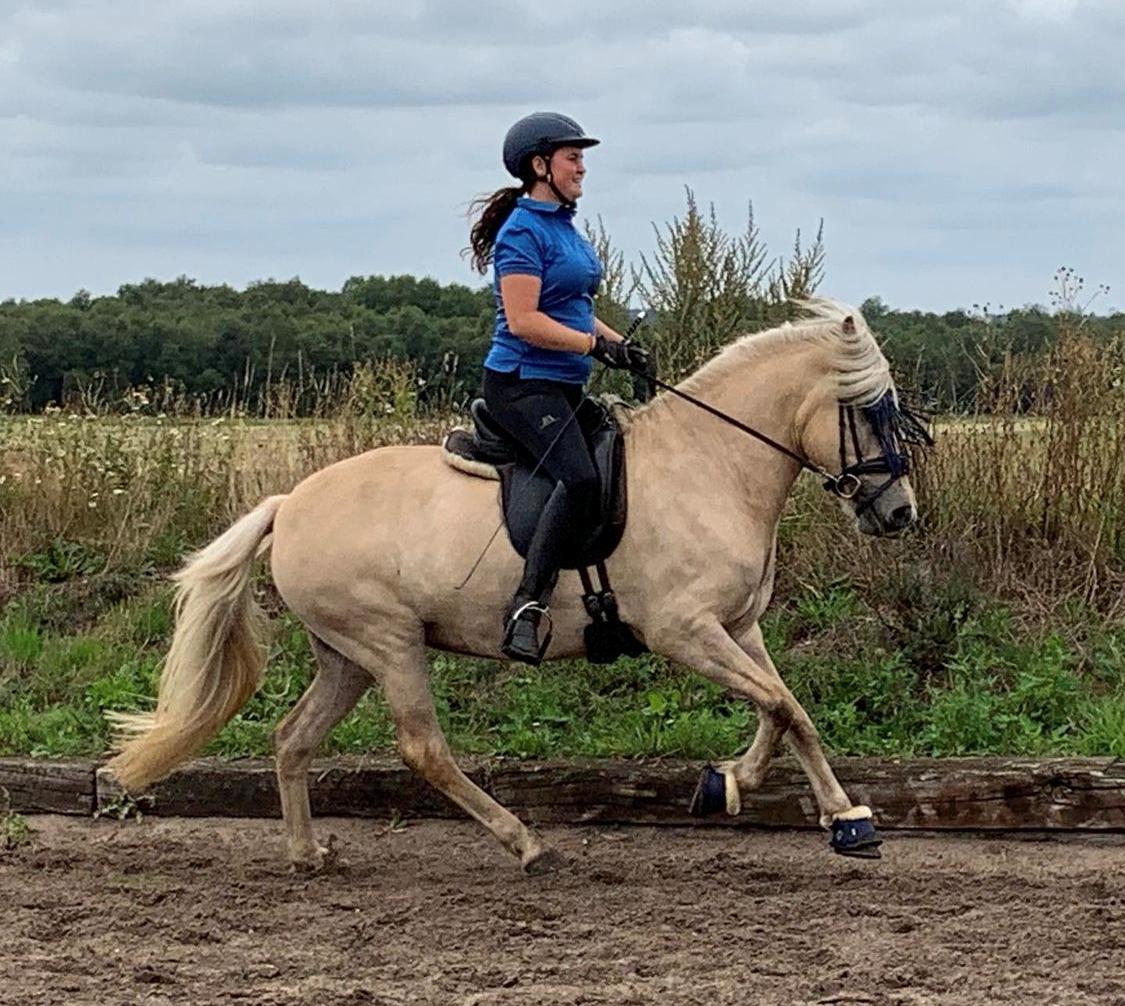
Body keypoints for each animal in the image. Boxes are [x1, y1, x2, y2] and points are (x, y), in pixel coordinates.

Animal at [105, 299, 931, 873]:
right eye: (871, 411)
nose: (897, 513)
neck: (711, 464)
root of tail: (288, 504)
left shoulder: (735, 628)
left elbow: (788, 710)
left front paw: (833, 815)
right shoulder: (682, 630)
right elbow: (781, 705)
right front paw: (738, 788)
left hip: (346, 656)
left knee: (292, 738)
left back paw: (309, 855)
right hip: (389, 642)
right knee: (423, 748)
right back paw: (526, 843)